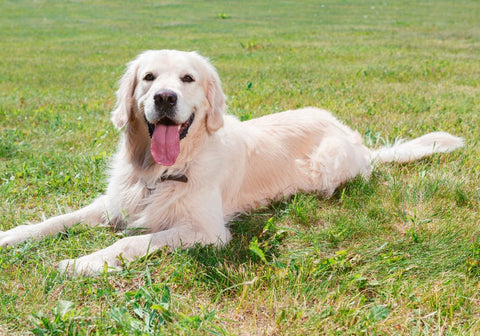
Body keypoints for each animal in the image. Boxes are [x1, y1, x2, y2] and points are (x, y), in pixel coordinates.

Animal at [0, 50, 464, 276]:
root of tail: (357, 140)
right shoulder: (114, 203)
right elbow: (54, 221)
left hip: (328, 164)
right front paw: (11, 235)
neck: (159, 172)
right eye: (148, 78)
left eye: (187, 79)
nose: (164, 97)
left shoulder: (207, 232)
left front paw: (83, 263)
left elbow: (131, 242)